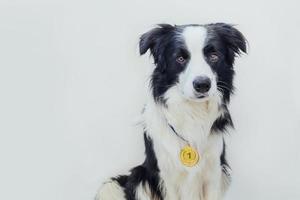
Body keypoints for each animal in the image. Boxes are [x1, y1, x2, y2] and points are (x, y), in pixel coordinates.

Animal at [96, 23, 246, 200]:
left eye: (214, 56)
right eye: (180, 58)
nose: (202, 84)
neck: (192, 112)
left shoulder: (214, 173)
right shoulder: (167, 176)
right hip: (141, 176)